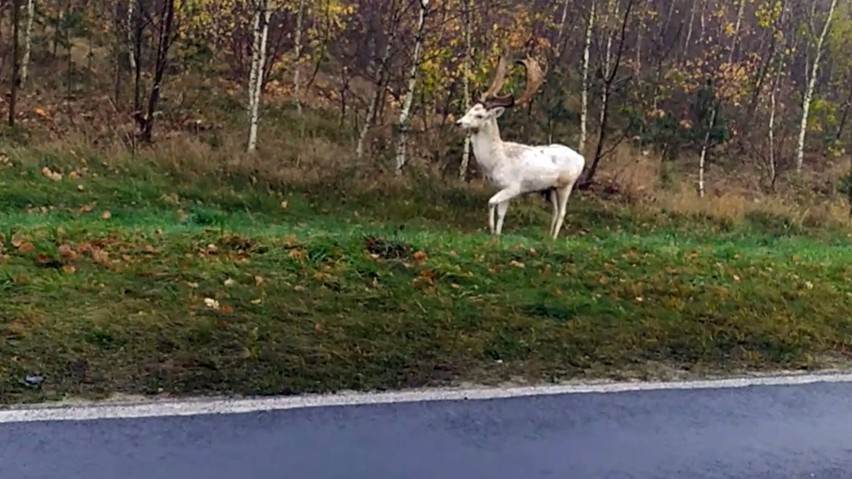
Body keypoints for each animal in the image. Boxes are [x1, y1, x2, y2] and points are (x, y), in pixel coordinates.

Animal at [456, 54, 584, 240]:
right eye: (470, 109)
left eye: (479, 115)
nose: (458, 122)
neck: (495, 162)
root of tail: (582, 158)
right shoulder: (502, 187)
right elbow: (501, 213)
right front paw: (497, 235)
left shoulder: (514, 187)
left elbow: (490, 202)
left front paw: (491, 229)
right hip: (551, 188)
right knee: (554, 211)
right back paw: (548, 236)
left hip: (567, 184)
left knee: (562, 212)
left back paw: (554, 238)